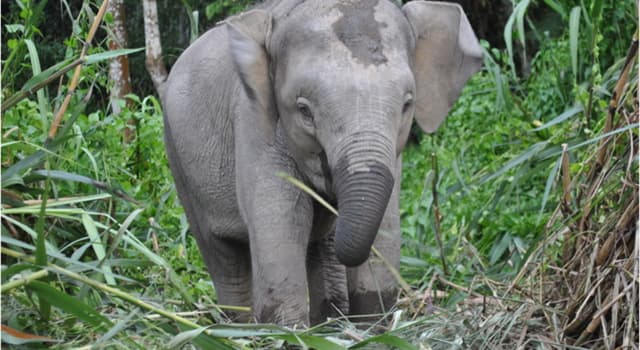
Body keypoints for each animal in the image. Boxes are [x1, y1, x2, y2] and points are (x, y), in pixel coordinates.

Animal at [162, 0, 482, 326]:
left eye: (407, 104)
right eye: (304, 110)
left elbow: (385, 224)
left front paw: (371, 328)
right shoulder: (254, 123)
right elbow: (284, 223)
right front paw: (288, 331)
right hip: (178, 158)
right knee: (223, 254)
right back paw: (238, 326)